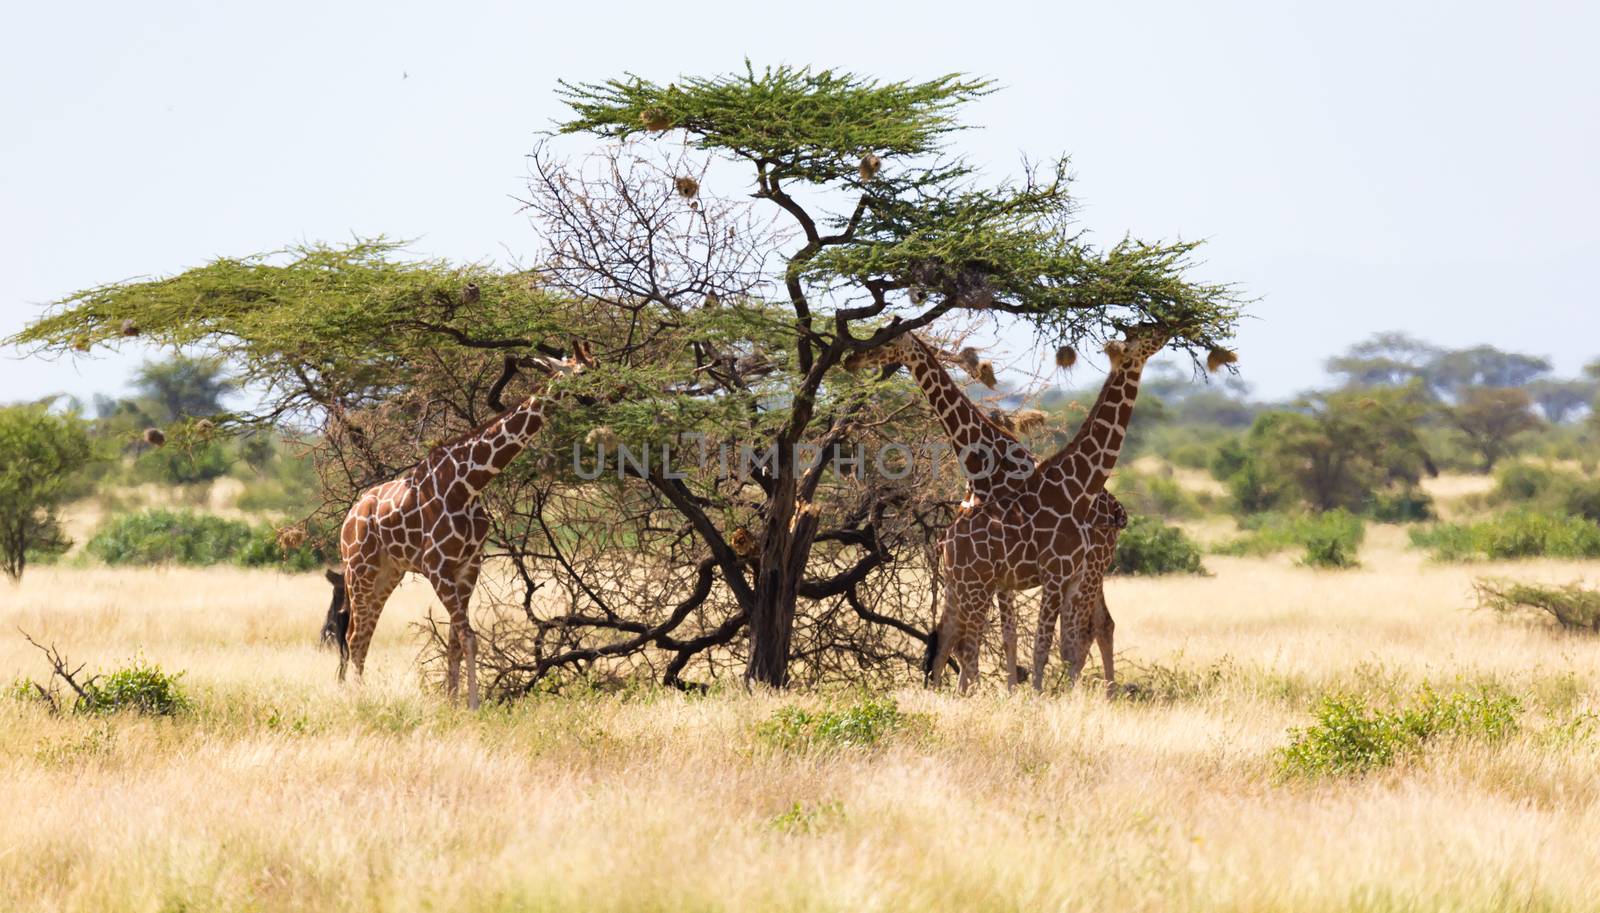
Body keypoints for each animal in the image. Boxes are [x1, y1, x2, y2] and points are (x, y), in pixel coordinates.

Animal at [340, 346, 592, 709]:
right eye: (583, 373)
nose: (598, 396)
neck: (469, 483)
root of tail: (349, 518)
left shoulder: (468, 566)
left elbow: (456, 640)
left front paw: (452, 702)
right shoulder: (437, 567)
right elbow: (469, 637)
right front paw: (472, 705)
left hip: (388, 573)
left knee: (363, 634)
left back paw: (358, 695)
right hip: (359, 569)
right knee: (354, 635)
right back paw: (352, 699)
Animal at [844, 332, 1132, 690]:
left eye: (888, 341)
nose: (852, 359)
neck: (982, 464)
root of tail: (1119, 512)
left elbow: (996, 633)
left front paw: (999, 689)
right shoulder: (997, 561)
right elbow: (1001, 635)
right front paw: (1005, 689)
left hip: (1091, 564)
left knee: (1094, 626)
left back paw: (1103, 691)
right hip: (1091, 568)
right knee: (1101, 623)